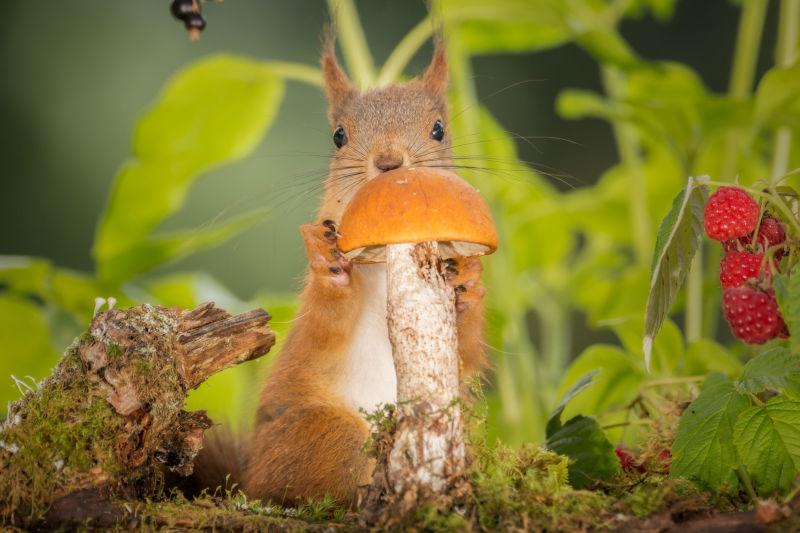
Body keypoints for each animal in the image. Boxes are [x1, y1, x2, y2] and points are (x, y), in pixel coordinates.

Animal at [200, 41, 488, 508]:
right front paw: (331, 265)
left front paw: (465, 283)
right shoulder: (311, 329)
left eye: (439, 129)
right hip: (325, 434)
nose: (389, 162)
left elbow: (468, 350)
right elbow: (322, 327)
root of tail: (247, 478)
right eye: (338, 136)